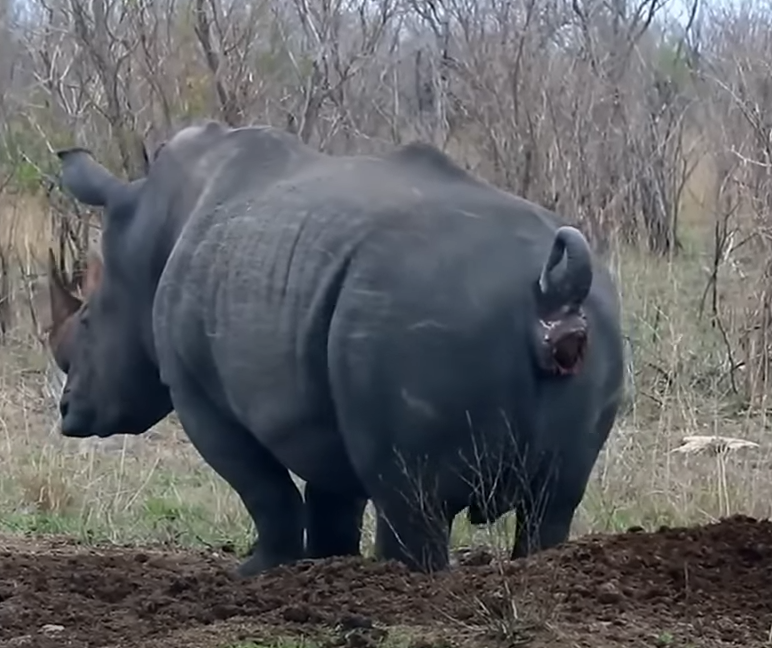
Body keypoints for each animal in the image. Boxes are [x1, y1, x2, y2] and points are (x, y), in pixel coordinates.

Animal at [46, 120, 625, 576]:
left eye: (88, 322)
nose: (68, 412)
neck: (149, 228)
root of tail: (553, 296)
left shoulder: (196, 391)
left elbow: (263, 488)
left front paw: (257, 572)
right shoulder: (318, 391)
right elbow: (332, 495)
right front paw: (327, 568)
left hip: (423, 312)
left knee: (411, 499)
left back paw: (405, 577)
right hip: (593, 325)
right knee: (553, 504)